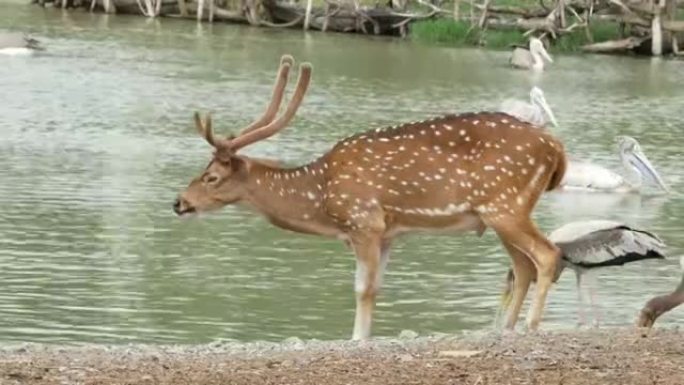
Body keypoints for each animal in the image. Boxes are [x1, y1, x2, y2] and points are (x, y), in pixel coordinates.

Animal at [174, 54, 568, 340]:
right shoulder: (388, 232)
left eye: (211, 177)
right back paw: (507, 330)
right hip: (500, 213)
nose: (179, 202)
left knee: (547, 255)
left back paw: (531, 327)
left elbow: (362, 289)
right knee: (522, 267)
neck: (321, 200)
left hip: (504, 204)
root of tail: (556, 148)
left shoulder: (364, 220)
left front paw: (356, 339)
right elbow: (375, 287)